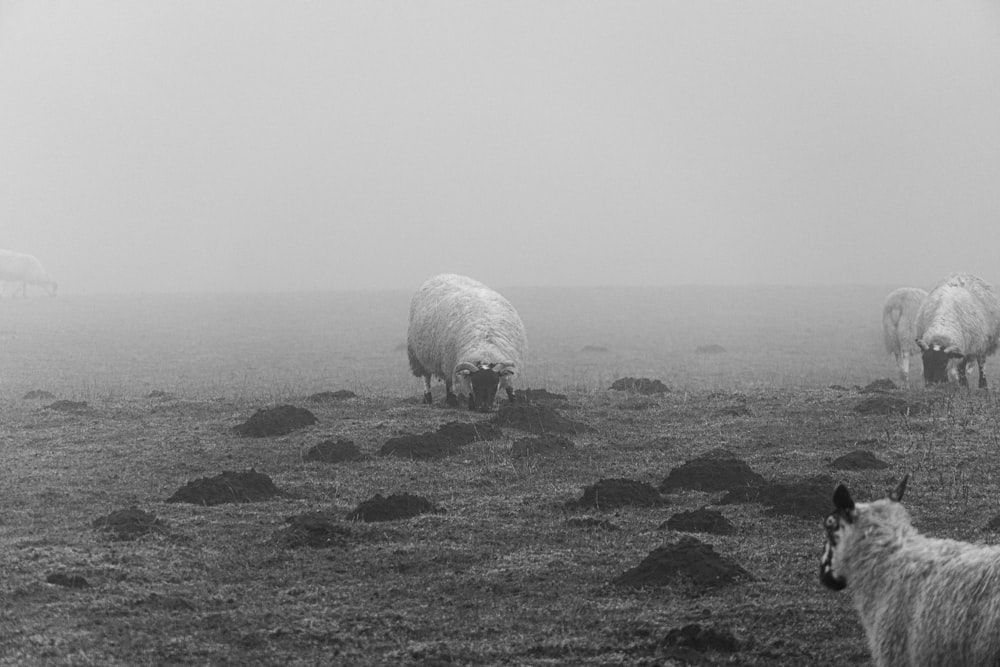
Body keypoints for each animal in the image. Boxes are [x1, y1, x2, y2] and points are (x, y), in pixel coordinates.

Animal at [408, 272, 528, 412]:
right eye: (475, 386)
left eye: (494, 385)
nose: (484, 408)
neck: (485, 345)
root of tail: (443, 275)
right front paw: (471, 403)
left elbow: (509, 384)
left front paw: (514, 401)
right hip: (421, 355)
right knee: (428, 377)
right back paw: (430, 398)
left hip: (444, 359)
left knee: (448, 378)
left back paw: (451, 400)